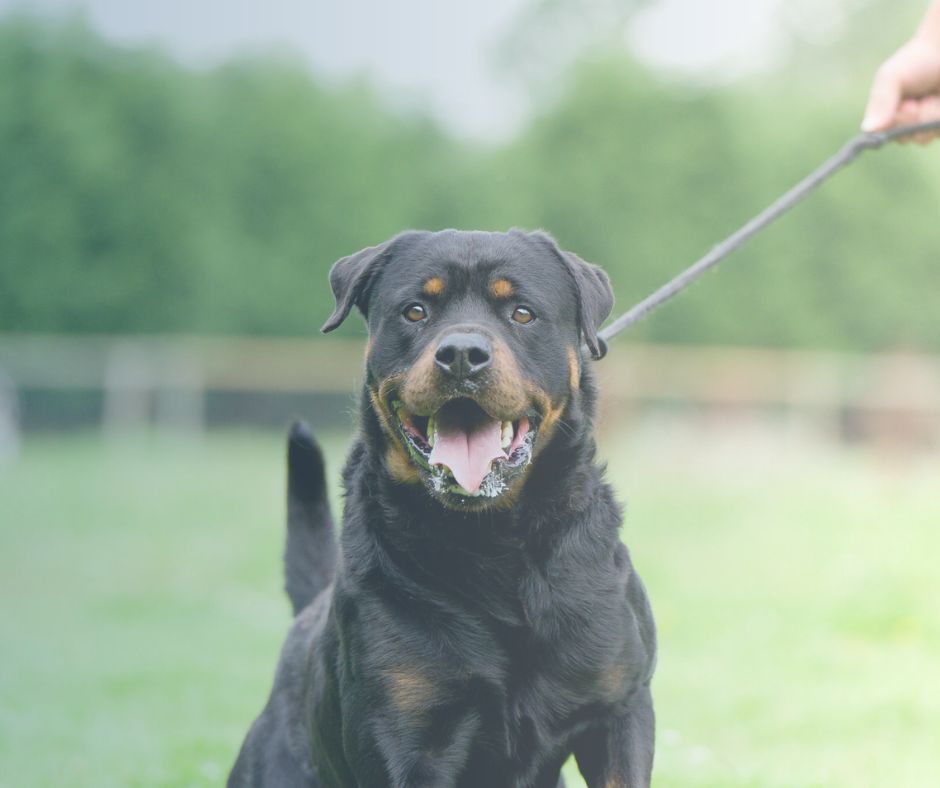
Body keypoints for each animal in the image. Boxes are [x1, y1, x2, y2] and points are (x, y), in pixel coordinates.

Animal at [229, 229, 656, 788]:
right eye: (415, 311)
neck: (493, 541)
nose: (461, 354)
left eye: (522, 313)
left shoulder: (618, 709)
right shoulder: (403, 732)